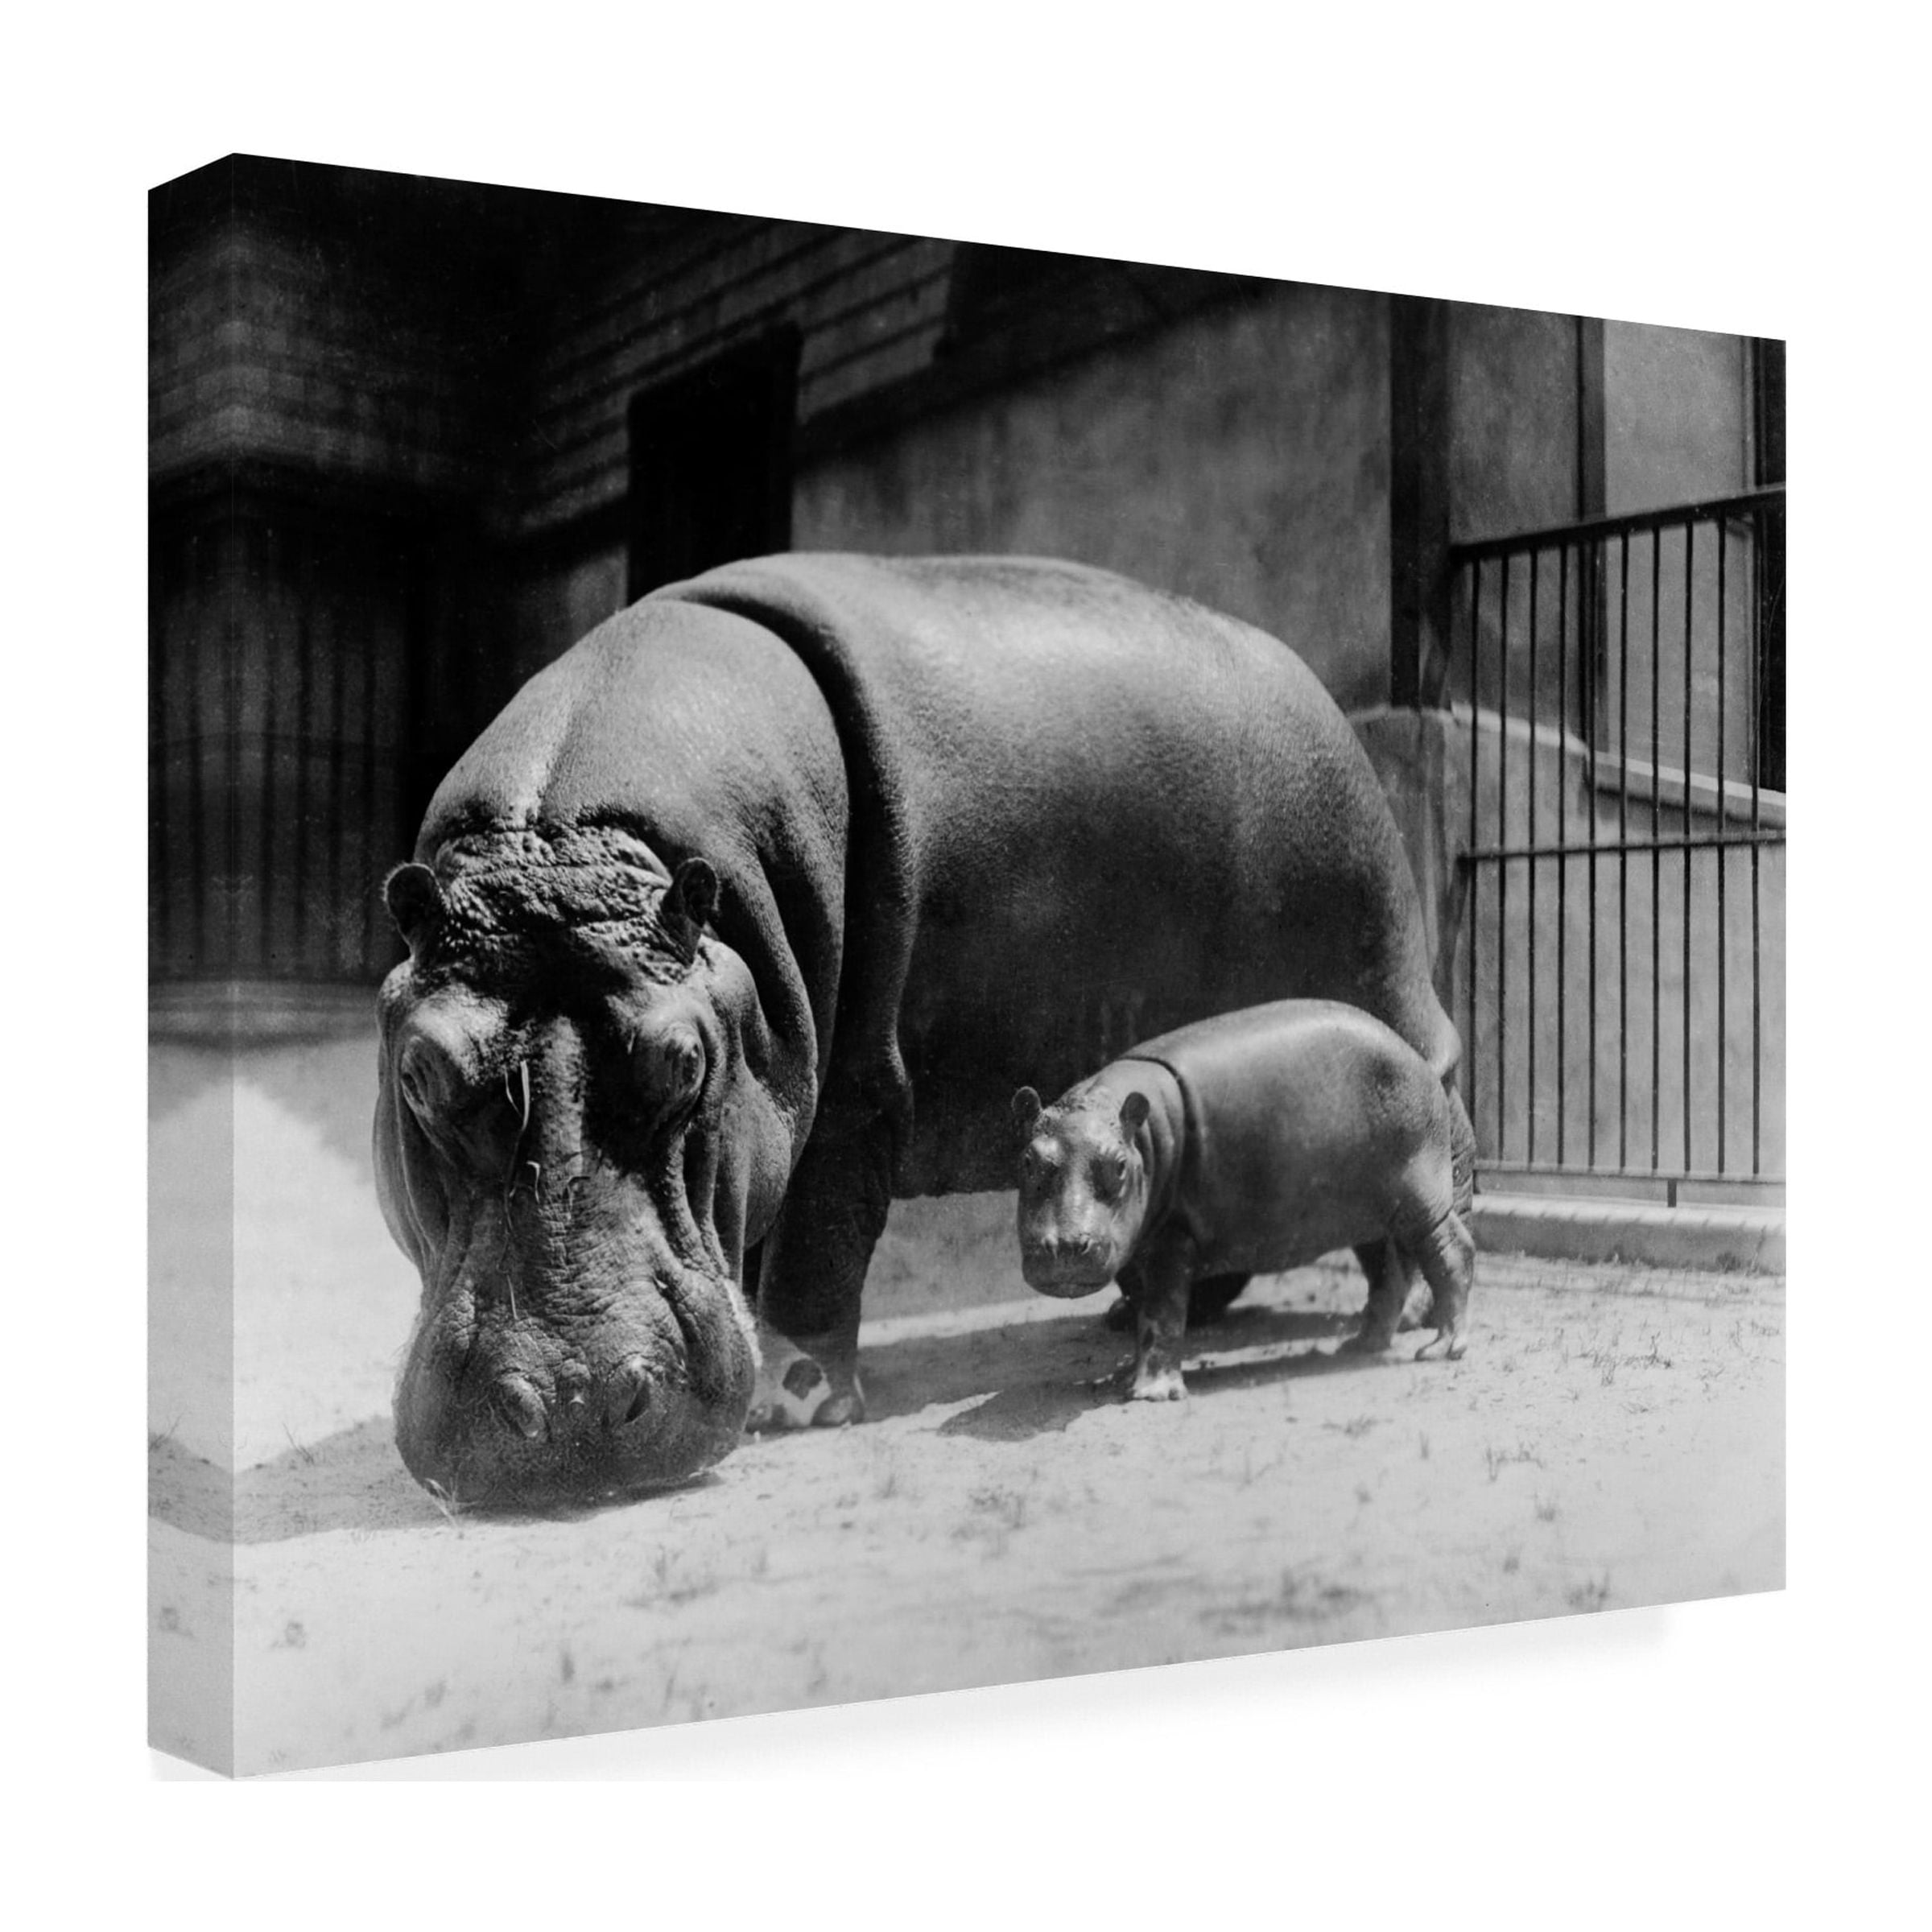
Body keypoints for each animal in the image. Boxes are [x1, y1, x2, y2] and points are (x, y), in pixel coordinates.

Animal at [1012, 999, 1477, 1401]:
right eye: (1028, 1160)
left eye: (1118, 1166)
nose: (1064, 1247)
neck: (1137, 1132)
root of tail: (1419, 1059)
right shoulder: (1137, 1243)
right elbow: (1144, 1311)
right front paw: (1124, 1376)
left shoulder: (1172, 1237)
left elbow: (1162, 1313)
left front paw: (1150, 1393)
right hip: (1366, 1212)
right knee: (1387, 1274)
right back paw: (1358, 1345)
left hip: (1420, 1200)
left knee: (1451, 1252)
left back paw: (1441, 1348)